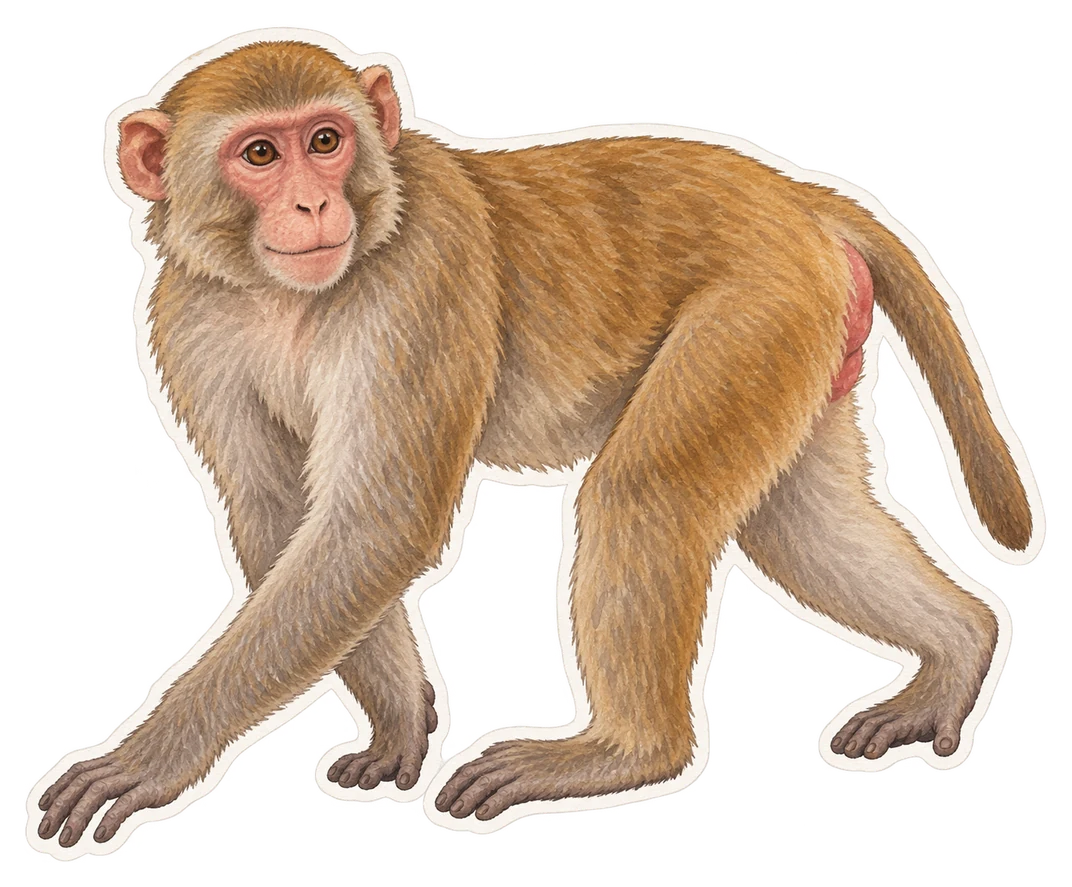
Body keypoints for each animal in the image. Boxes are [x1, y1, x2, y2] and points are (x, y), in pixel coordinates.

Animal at [35, 39, 1034, 847]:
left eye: (324, 141)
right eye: (258, 154)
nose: (315, 204)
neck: (289, 295)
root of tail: (790, 194)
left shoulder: (420, 277)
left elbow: (378, 524)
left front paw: (153, 754)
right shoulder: (190, 314)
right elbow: (284, 515)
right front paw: (398, 719)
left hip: (759, 305)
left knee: (644, 492)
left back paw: (625, 750)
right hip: (804, 330)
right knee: (800, 521)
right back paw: (962, 645)